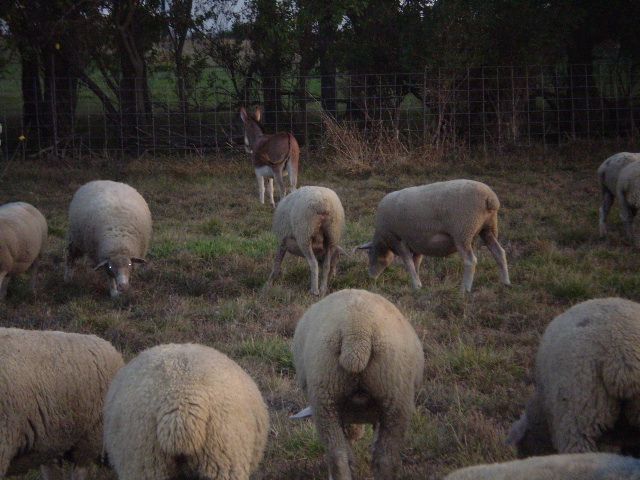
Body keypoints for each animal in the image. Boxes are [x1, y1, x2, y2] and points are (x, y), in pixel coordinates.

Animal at [292, 289, 425, 480]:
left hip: (328, 398)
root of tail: (356, 333)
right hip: (393, 397)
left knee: (344, 457)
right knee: (380, 458)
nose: (355, 435)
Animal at [356, 179, 510, 293]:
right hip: (488, 229)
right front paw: (418, 283)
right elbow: (416, 263)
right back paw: (505, 282)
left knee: (470, 261)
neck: (384, 240)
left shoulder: (398, 239)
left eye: (370, 254)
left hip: (463, 231)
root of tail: (490, 198)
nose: (371, 278)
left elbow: (408, 263)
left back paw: (464, 289)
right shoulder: (417, 243)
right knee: (499, 252)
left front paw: (416, 284)